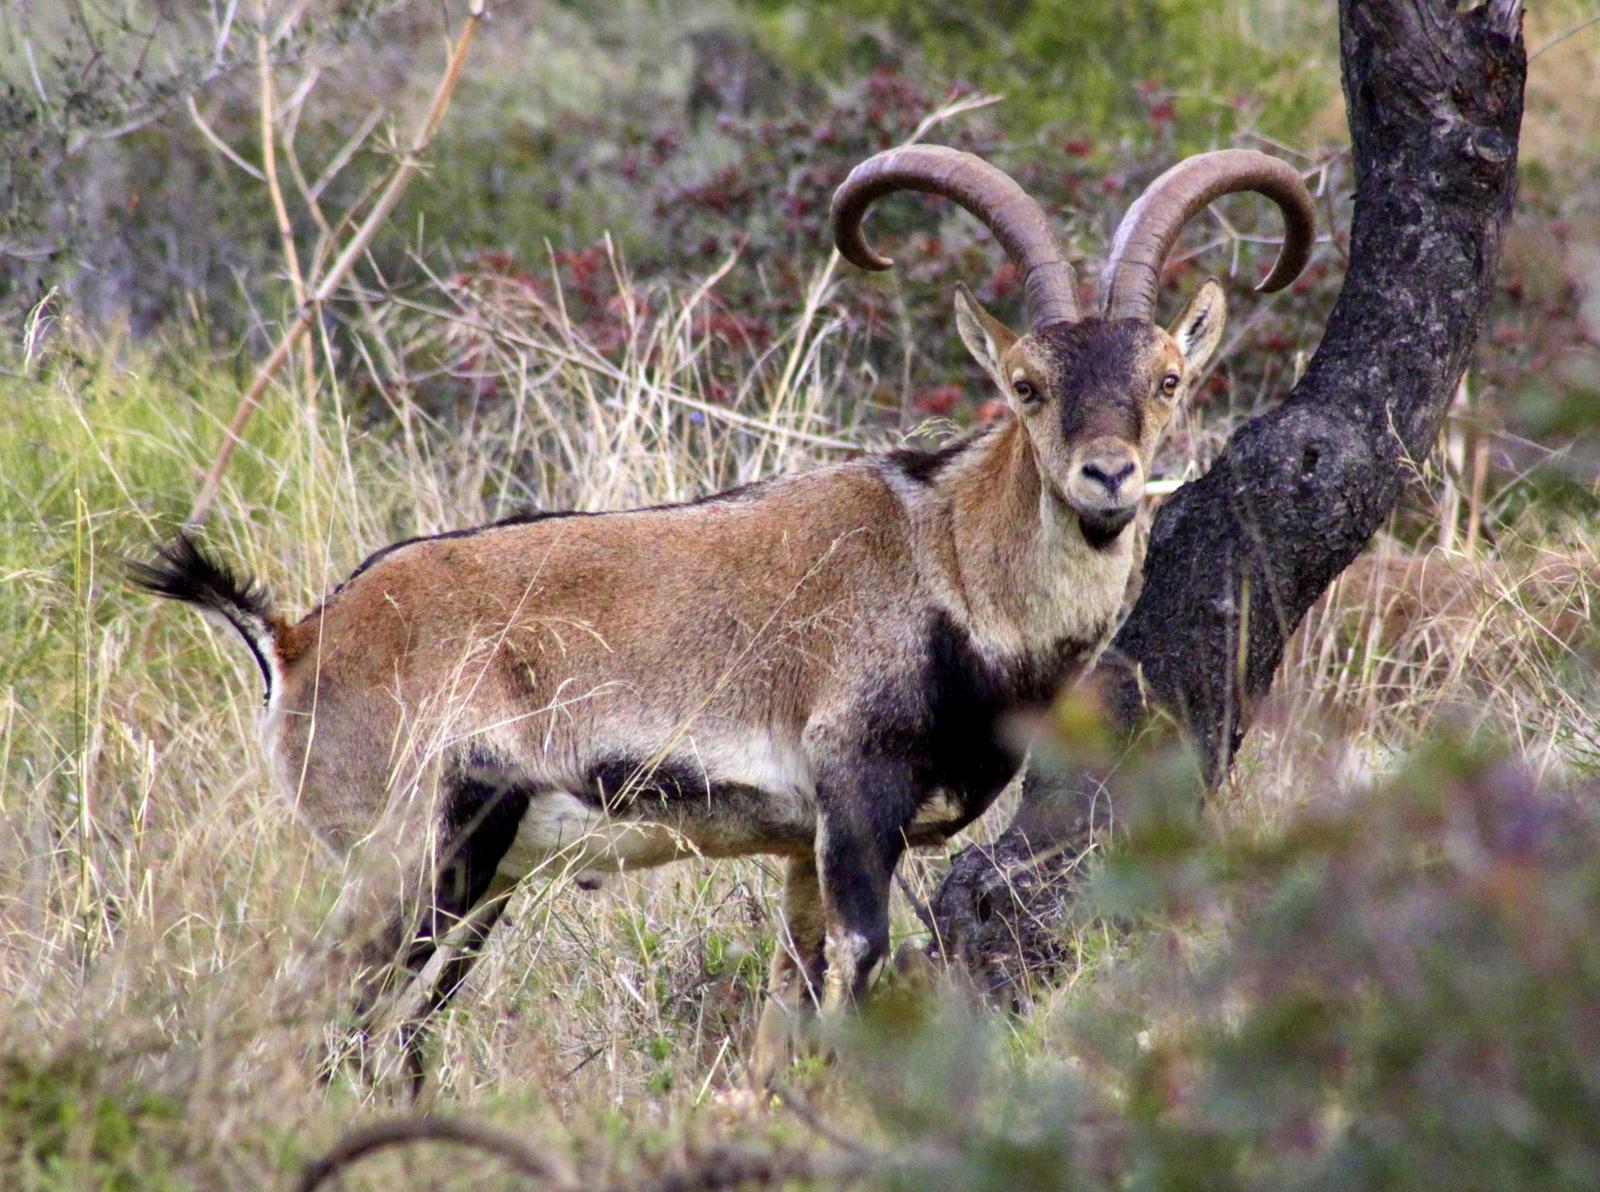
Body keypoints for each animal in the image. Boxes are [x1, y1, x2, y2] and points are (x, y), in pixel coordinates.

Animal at [132, 144, 1314, 1088]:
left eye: (1168, 377)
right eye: (1025, 382)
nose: (1106, 478)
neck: (947, 566)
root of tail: (296, 638)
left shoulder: (801, 844)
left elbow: (791, 991)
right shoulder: (856, 802)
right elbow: (855, 968)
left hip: (477, 881)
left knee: (391, 1027)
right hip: (405, 854)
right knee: (318, 1003)